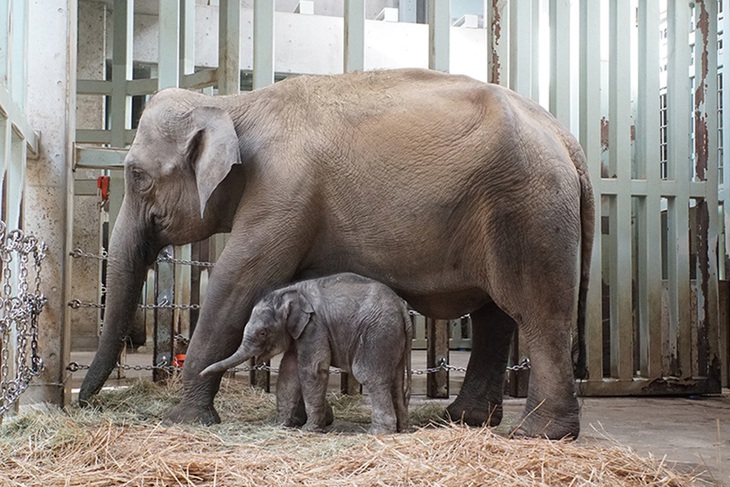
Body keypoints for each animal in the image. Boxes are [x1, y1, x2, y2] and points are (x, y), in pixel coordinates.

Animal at [202, 272, 412, 436]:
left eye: (262, 333)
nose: (201, 373)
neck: (290, 291)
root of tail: (402, 308)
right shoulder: (299, 332)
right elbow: (288, 372)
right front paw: (281, 425)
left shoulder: (315, 326)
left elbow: (313, 369)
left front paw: (309, 430)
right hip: (393, 338)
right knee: (396, 380)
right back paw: (402, 429)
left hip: (377, 333)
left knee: (369, 376)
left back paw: (378, 433)